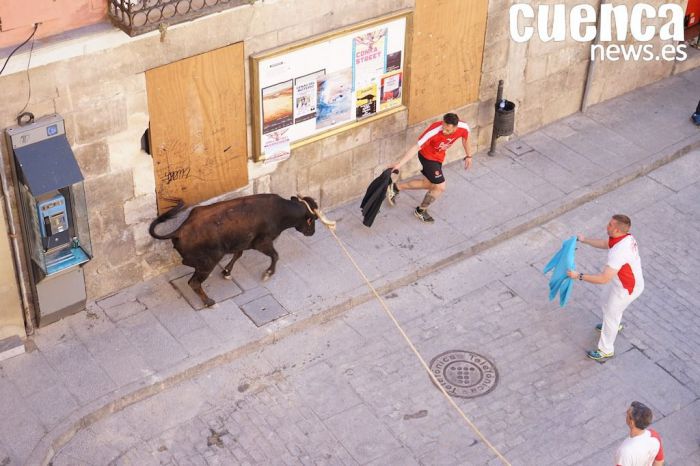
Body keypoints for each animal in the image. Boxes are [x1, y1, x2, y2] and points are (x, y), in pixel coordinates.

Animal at [148, 195, 334, 308]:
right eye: (313, 219)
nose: (312, 233)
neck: (281, 212)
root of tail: (180, 231)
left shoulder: (242, 243)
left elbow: (238, 254)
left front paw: (226, 272)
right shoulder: (262, 243)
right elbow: (275, 255)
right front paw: (268, 273)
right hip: (208, 262)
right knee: (193, 282)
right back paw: (208, 301)